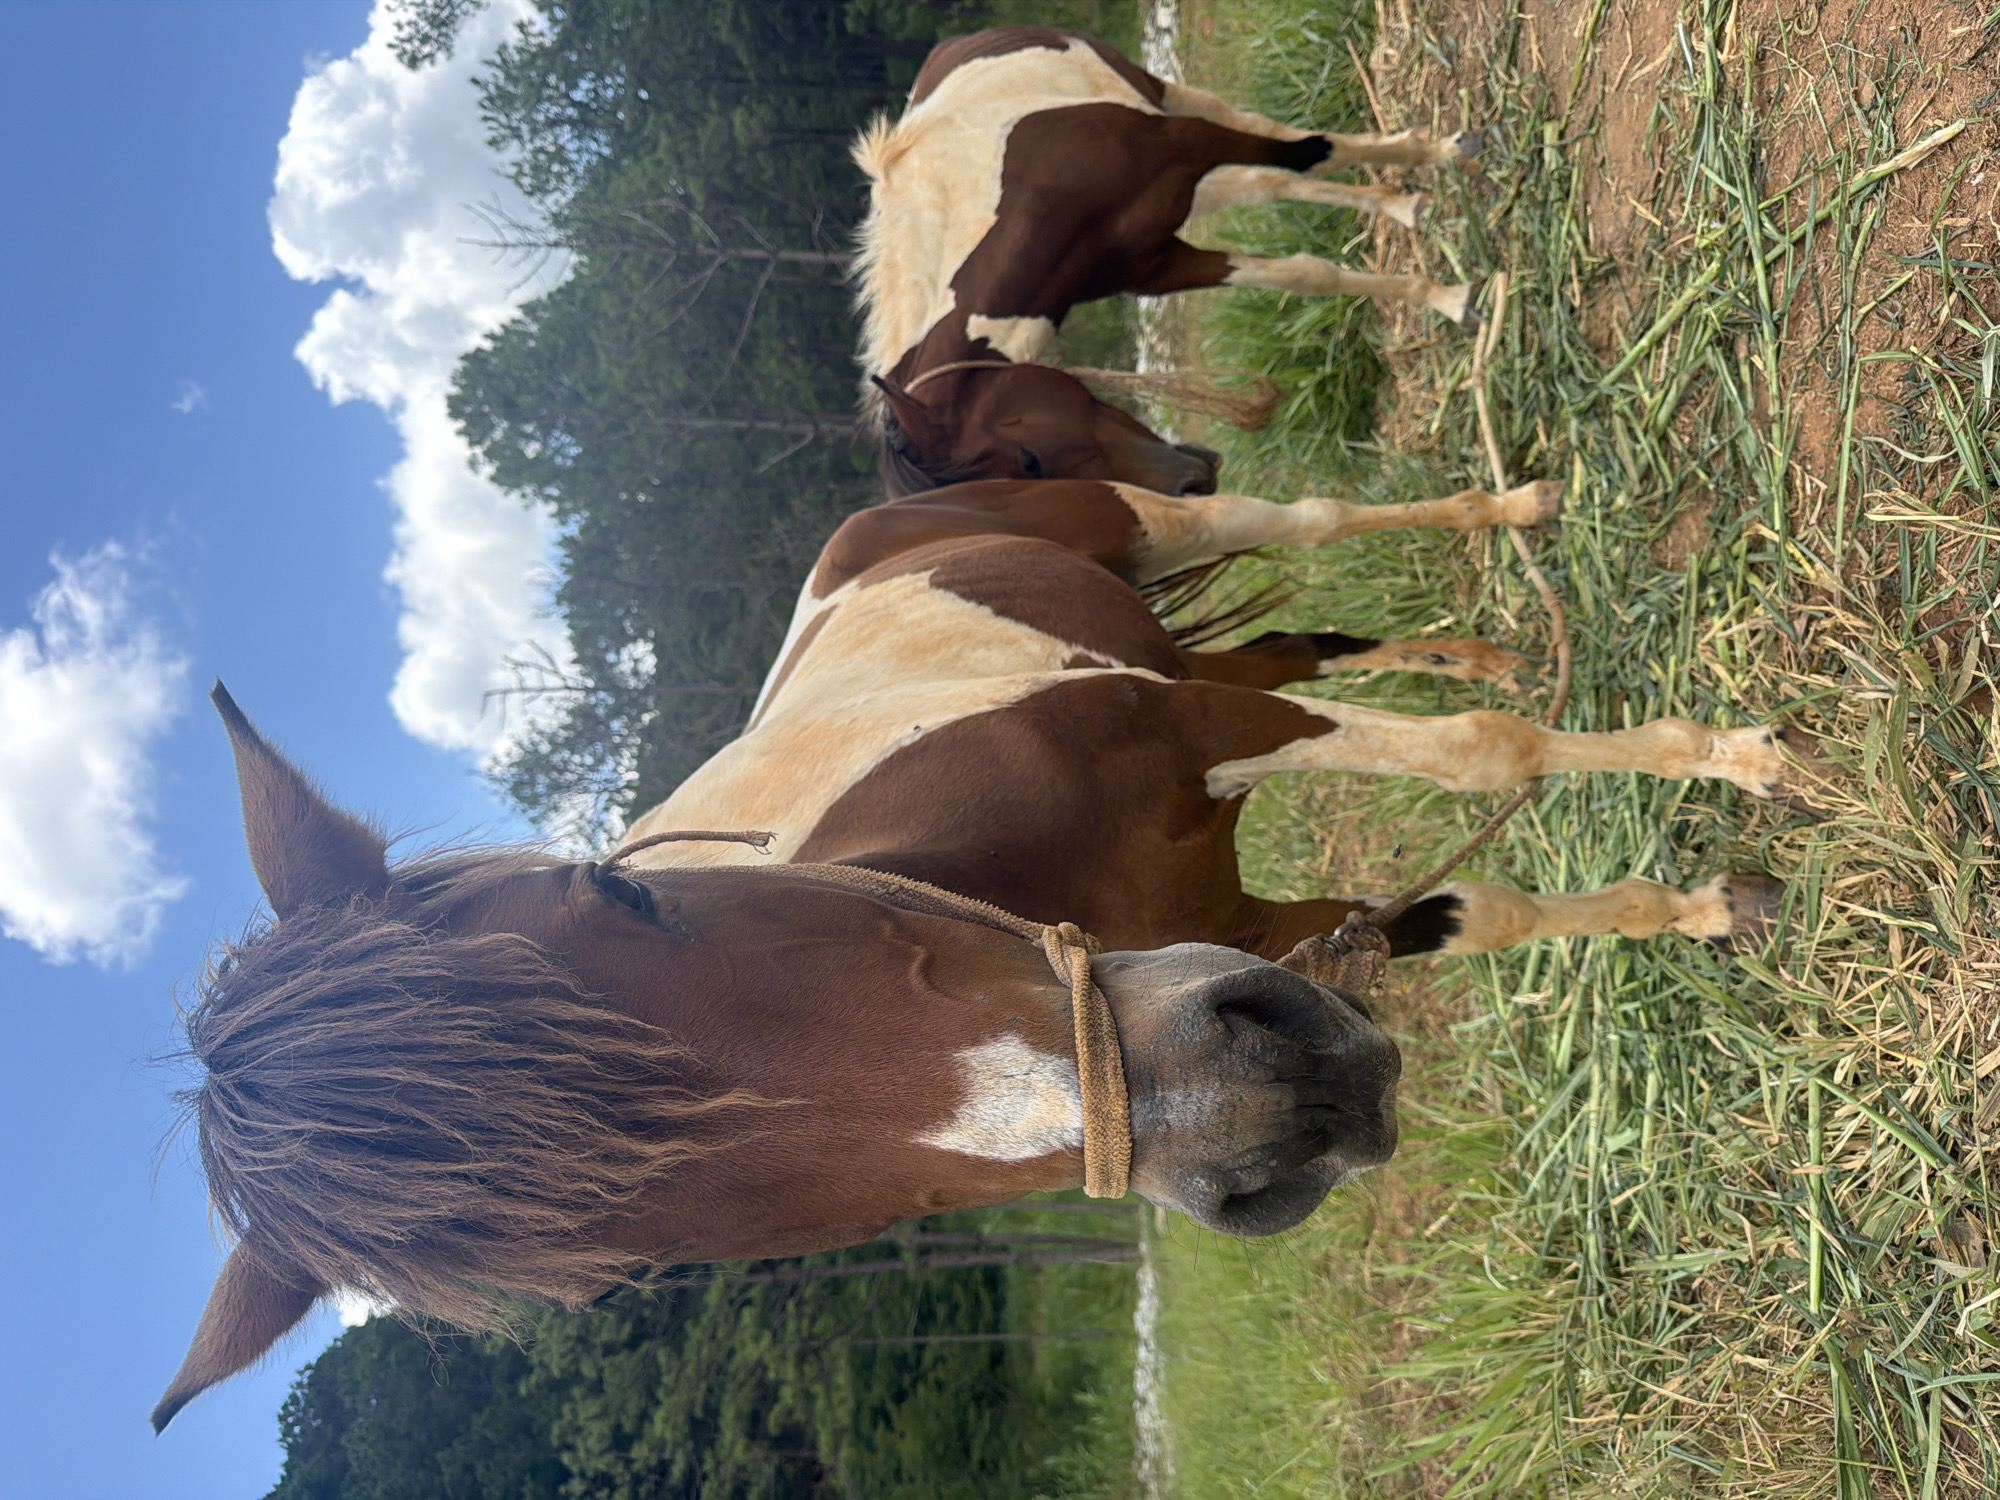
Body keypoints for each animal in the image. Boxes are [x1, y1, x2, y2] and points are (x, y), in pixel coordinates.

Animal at [154, 473, 1804, 1431]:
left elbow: (1482, 756)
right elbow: (1464, 909)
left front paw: (1728, 766)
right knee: (1311, 637)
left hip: (1150, 533)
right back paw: (1479, 629)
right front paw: (1698, 907)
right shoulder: (1240, 931)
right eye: (640, 1265)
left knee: (1317, 527)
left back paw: (1515, 513)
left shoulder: (1205, 746)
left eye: (620, 901)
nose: (1261, 1118)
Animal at [853, 26, 1483, 496]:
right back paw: (1397, 204)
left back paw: (1423, 170)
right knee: (1264, 185)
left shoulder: (1190, 141)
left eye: (1029, 459)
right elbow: (1306, 272)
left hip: (1164, 95)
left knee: (1279, 148)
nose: (1191, 485)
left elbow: (1308, 152)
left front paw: (1447, 265)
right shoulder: (1160, 265)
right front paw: (1440, 294)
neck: (1031, 201)